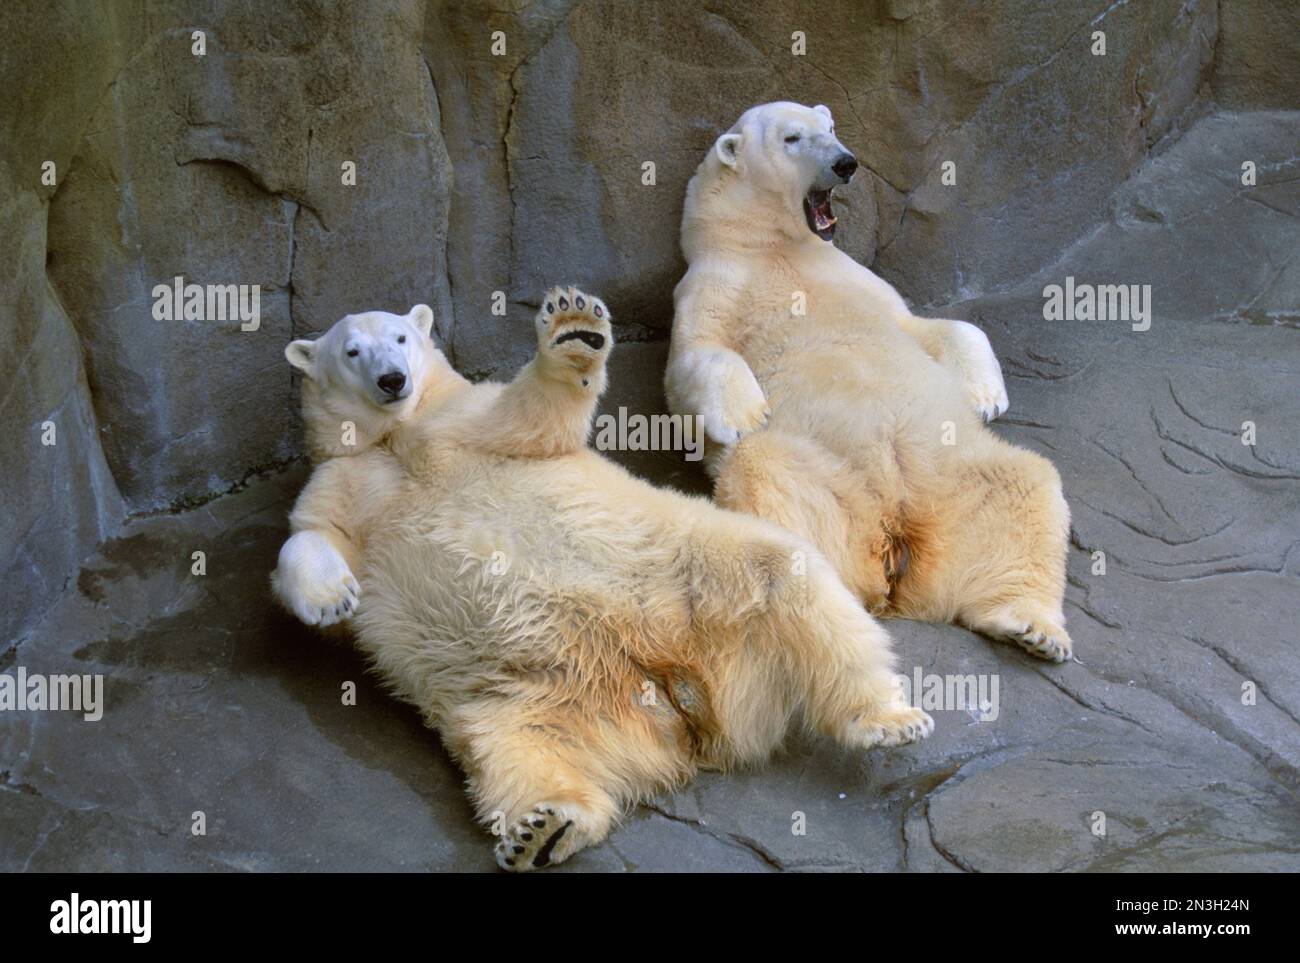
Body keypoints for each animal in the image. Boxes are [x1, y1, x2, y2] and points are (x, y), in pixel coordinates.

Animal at [271, 287, 933, 870]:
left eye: (403, 338)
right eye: (352, 350)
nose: (392, 380)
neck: (397, 436)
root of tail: (678, 698)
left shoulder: (462, 423)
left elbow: (535, 418)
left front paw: (574, 330)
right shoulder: (350, 478)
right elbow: (313, 536)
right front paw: (331, 598)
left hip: (691, 578)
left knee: (787, 578)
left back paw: (887, 717)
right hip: (529, 694)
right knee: (514, 747)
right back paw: (545, 827)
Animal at [665, 102, 1073, 662]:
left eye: (831, 127)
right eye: (792, 138)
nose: (846, 163)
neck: (772, 245)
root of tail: (895, 537)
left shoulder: (856, 280)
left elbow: (929, 325)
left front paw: (986, 396)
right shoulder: (713, 282)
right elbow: (692, 356)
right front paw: (743, 415)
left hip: (955, 480)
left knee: (1026, 485)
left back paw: (1031, 627)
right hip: (829, 481)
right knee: (766, 477)